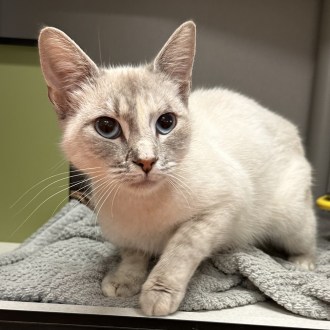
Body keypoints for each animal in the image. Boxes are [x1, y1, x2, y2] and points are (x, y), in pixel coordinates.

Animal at [37, 21, 316, 318]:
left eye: (166, 122)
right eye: (107, 127)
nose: (146, 161)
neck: (141, 206)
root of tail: (285, 122)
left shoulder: (219, 209)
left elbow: (179, 251)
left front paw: (158, 294)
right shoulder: (124, 234)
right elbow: (133, 255)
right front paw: (124, 280)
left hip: (290, 220)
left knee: (310, 242)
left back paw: (302, 265)